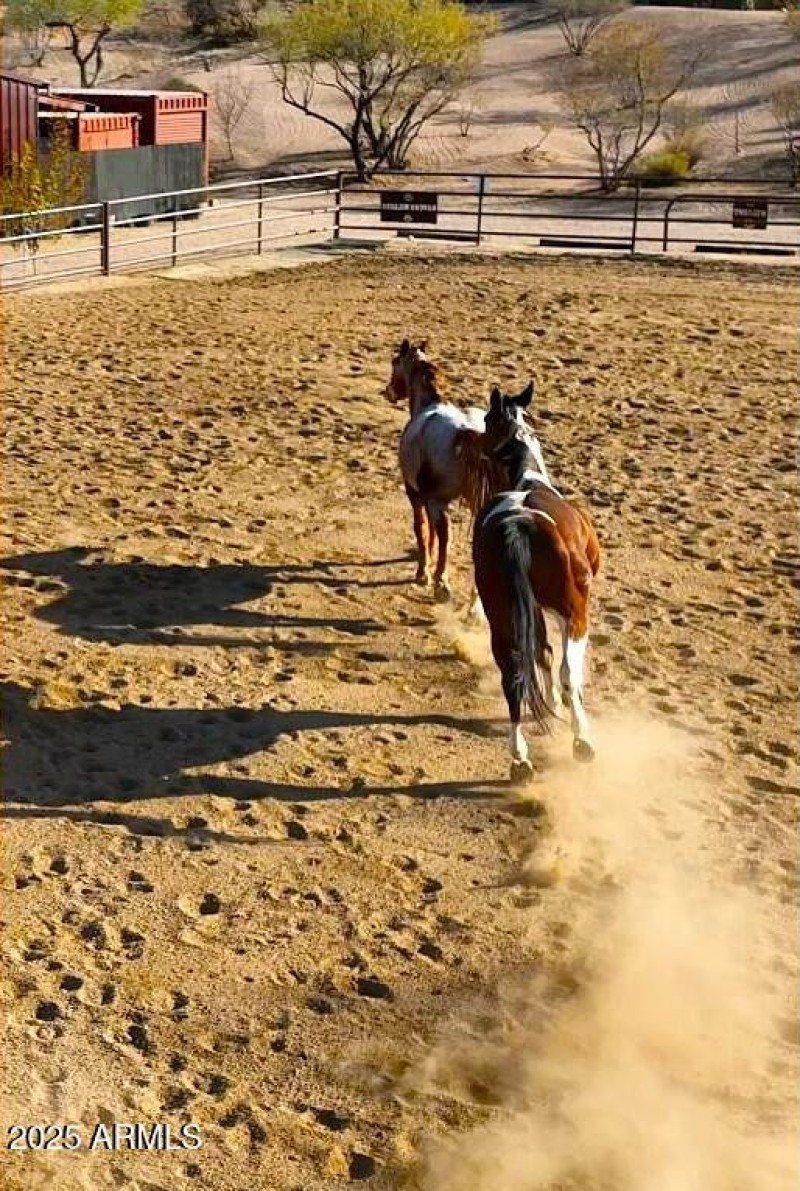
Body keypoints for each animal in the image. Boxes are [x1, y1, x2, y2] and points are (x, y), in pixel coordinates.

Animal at [385, 338, 490, 603]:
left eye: (394, 362)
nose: (389, 391)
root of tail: (465, 433)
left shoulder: (415, 493)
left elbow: (421, 528)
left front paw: (423, 572)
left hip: (437, 501)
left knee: (445, 531)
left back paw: (441, 583)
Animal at [473, 383, 601, 783]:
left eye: (485, 421)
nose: (472, 440)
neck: (528, 480)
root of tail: (518, 523)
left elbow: (540, 652)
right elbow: (561, 668)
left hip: (502, 617)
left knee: (513, 676)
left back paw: (520, 759)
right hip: (574, 614)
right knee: (568, 673)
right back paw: (581, 741)